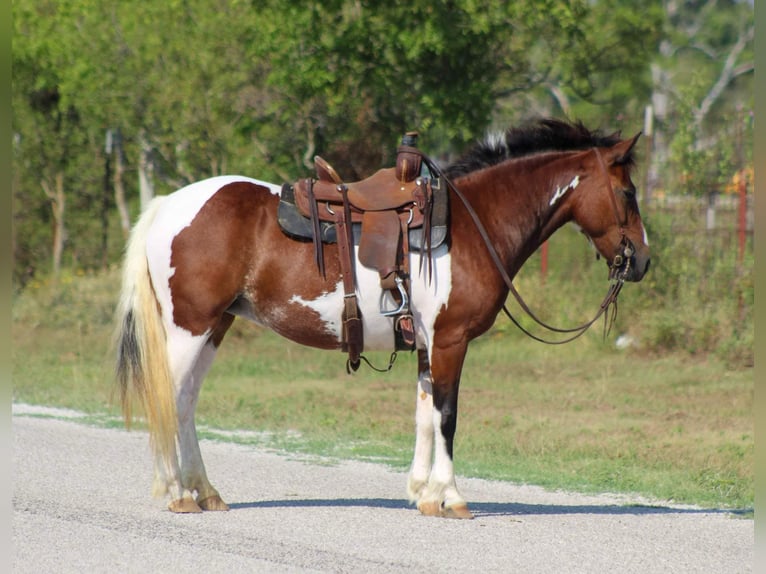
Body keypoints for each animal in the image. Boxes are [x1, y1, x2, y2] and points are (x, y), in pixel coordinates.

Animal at [115, 118, 650, 518]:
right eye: (628, 193)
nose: (642, 261)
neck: (473, 223)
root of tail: (168, 204)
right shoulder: (451, 341)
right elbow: (448, 416)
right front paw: (451, 497)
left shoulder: (428, 345)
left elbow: (424, 415)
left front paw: (422, 493)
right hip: (190, 329)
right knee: (170, 399)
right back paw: (178, 493)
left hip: (214, 328)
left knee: (185, 403)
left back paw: (204, 491)